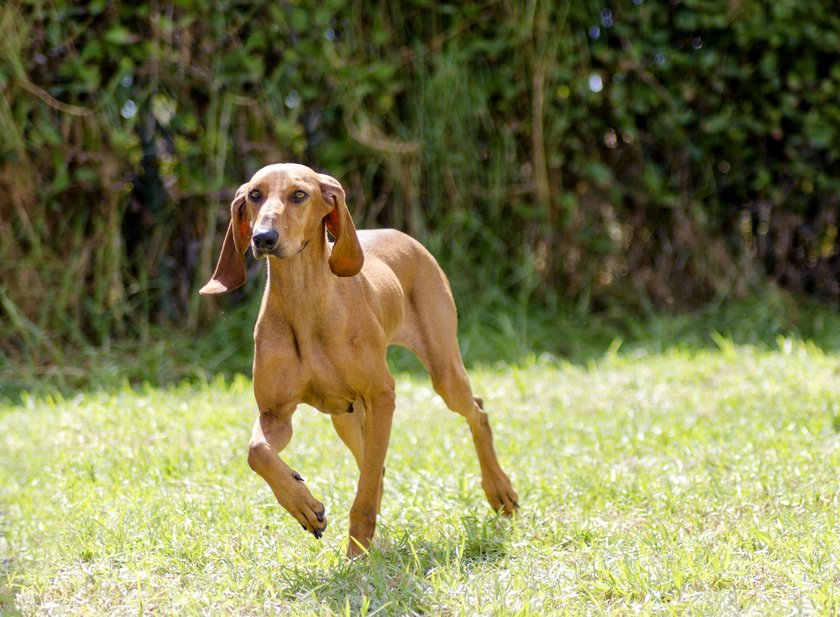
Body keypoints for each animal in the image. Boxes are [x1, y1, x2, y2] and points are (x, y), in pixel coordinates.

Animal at [202, 162, 520, 552]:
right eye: (254, 195)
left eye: (299, 194)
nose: (263, 238)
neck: (305, 303)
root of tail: (400, 234)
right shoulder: (275, 415)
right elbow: (257, 452)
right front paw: (303, 505)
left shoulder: (382, 397)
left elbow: (365, 489)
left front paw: (357, 550)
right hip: (346, 416)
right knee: (374, 463)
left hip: (443, 372)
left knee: (476, 411)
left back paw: (499, 489)